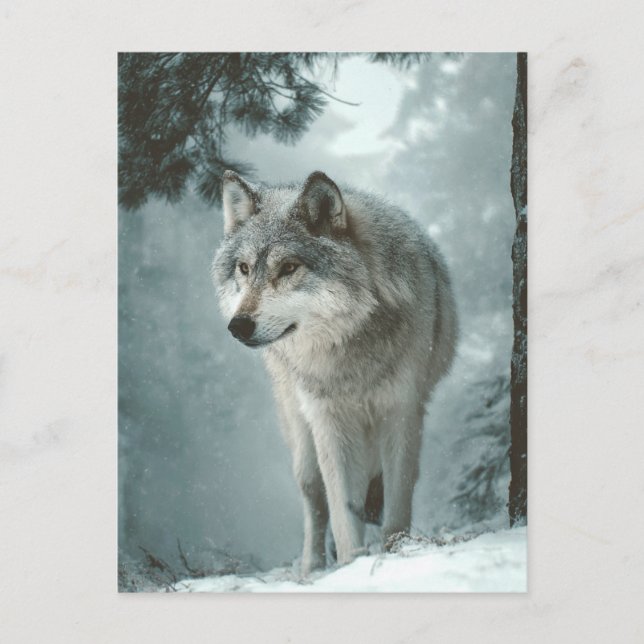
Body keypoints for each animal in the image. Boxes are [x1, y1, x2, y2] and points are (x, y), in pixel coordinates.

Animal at [212, 170, 458, 574]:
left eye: (288, 268)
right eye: (244, 269)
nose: (238, 326)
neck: (350, 348)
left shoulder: (402, 412)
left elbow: (397, 503)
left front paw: (395, 552)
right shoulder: (329, 419)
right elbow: (341, 508)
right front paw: (350, 565)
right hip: (300, 430)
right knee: (314, 497)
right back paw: (310, 566)